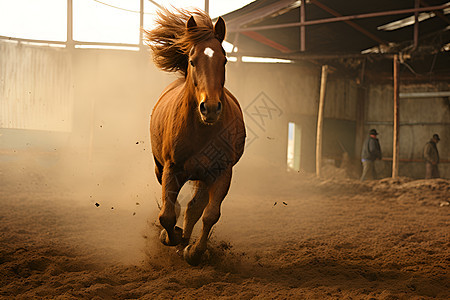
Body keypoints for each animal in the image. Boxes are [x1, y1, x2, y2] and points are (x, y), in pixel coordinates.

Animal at [145, 8, 246, 264]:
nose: (209, 108)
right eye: (193, 61)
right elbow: (167, 214)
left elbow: (209, 214)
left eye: (224, 60)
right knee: (179, 207)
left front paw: (193, 252)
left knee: (194, 208)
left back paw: (185, 242)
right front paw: (170, 236)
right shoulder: (171, 169)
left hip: (203, 176)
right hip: (160, 168)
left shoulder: (221, 172)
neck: (201, 131)